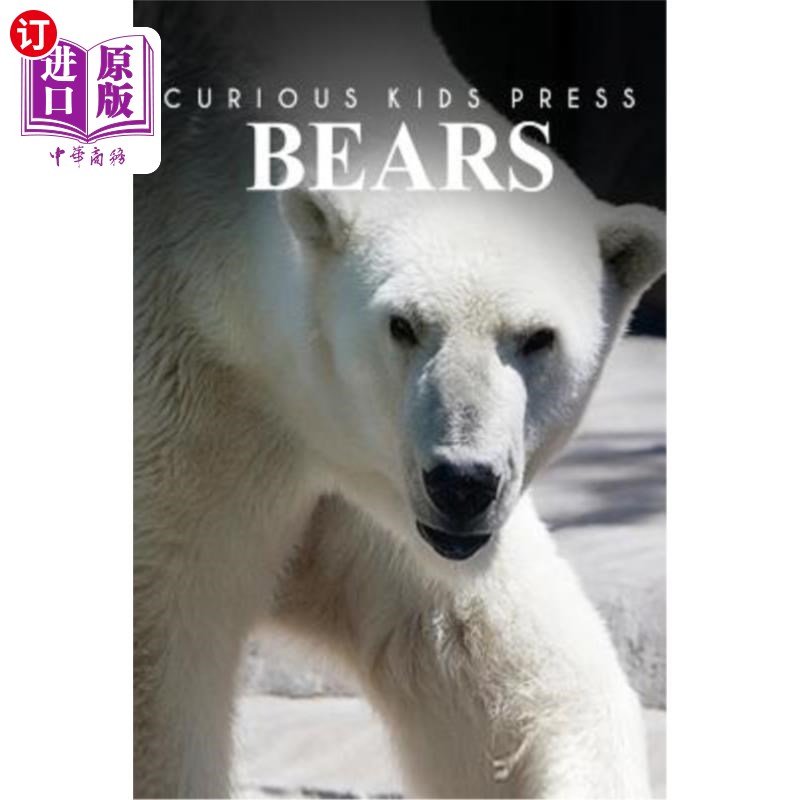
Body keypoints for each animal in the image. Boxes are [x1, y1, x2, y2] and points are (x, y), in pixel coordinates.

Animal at [134, 3, 665, 797]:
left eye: (537, 337)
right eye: (404, 325)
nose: (463, 482)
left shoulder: (372, 481)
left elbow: (507, 672)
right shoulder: (196, 411)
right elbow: (162, 667)